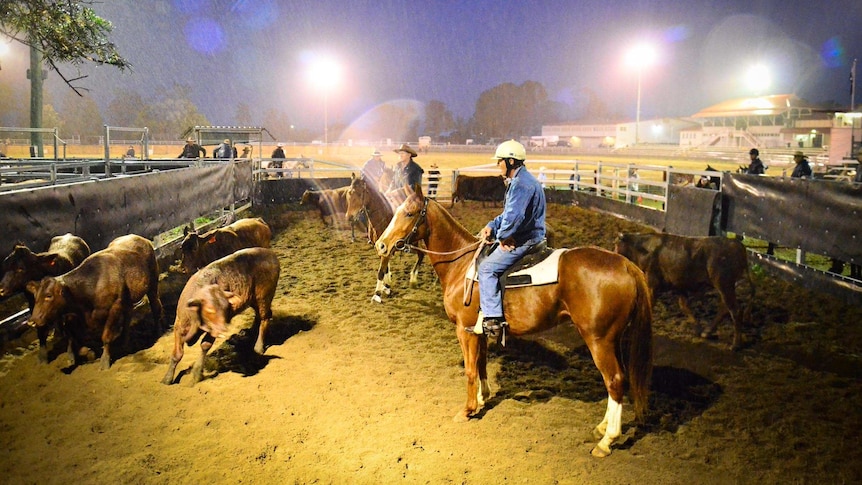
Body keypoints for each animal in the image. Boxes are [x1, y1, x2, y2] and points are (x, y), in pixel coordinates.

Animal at [0, 233, 91, 362]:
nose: (1, 289)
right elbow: (40, 329)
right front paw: (42, 357)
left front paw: (71, 353)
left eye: (20, 268)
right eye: (5, 266)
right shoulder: (34, 307)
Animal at [25, 233, 164, 366]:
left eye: (49, 295)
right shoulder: (76, 315)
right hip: (128, 299)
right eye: (35, 296)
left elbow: (106, 336)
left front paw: (104, 361)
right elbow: (74, 335)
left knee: (155, 306)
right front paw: (76, 355)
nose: (32, 321)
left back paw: (157, 332)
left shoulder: (114, 308)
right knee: (128, 316)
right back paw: (124, 341)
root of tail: (141, 238)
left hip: (152, 283)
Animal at [162, 248, 280, 384]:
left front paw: (196, 373)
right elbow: (178, 353)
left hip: (263, 297)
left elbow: (205, 345)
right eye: (209, 309)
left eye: (225, 308)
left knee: (264, 317)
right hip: (253, 299)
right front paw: (167, 379)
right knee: (261, 315)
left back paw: (259, 347)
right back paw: (250, 331)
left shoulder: (213, 330)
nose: (224, 329)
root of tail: (270, 254)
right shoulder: (179, 326)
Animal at [376, 187, 656, 456]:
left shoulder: (465, 330)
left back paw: (607, 440)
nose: (381, 245)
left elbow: (470, 370)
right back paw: (602, 428)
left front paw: (467, 409)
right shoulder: (480, 331)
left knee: (614, 380)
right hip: (612, 340)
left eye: (409, 213)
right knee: (617, 380)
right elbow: (481, 364)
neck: (461, 265)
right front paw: (483, 398)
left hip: (598, 339)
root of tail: (626, 265)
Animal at [616, 231, 756, 348]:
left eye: (616, 247)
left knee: (735, 310)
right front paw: (698, 328)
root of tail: (737, 245)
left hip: (724, 285)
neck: (645, 248)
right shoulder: (679, 286)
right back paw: (707, 332)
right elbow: (684, 306)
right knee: (724, 308)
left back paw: (736, 344)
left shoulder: (652, 283)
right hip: (725, 287)